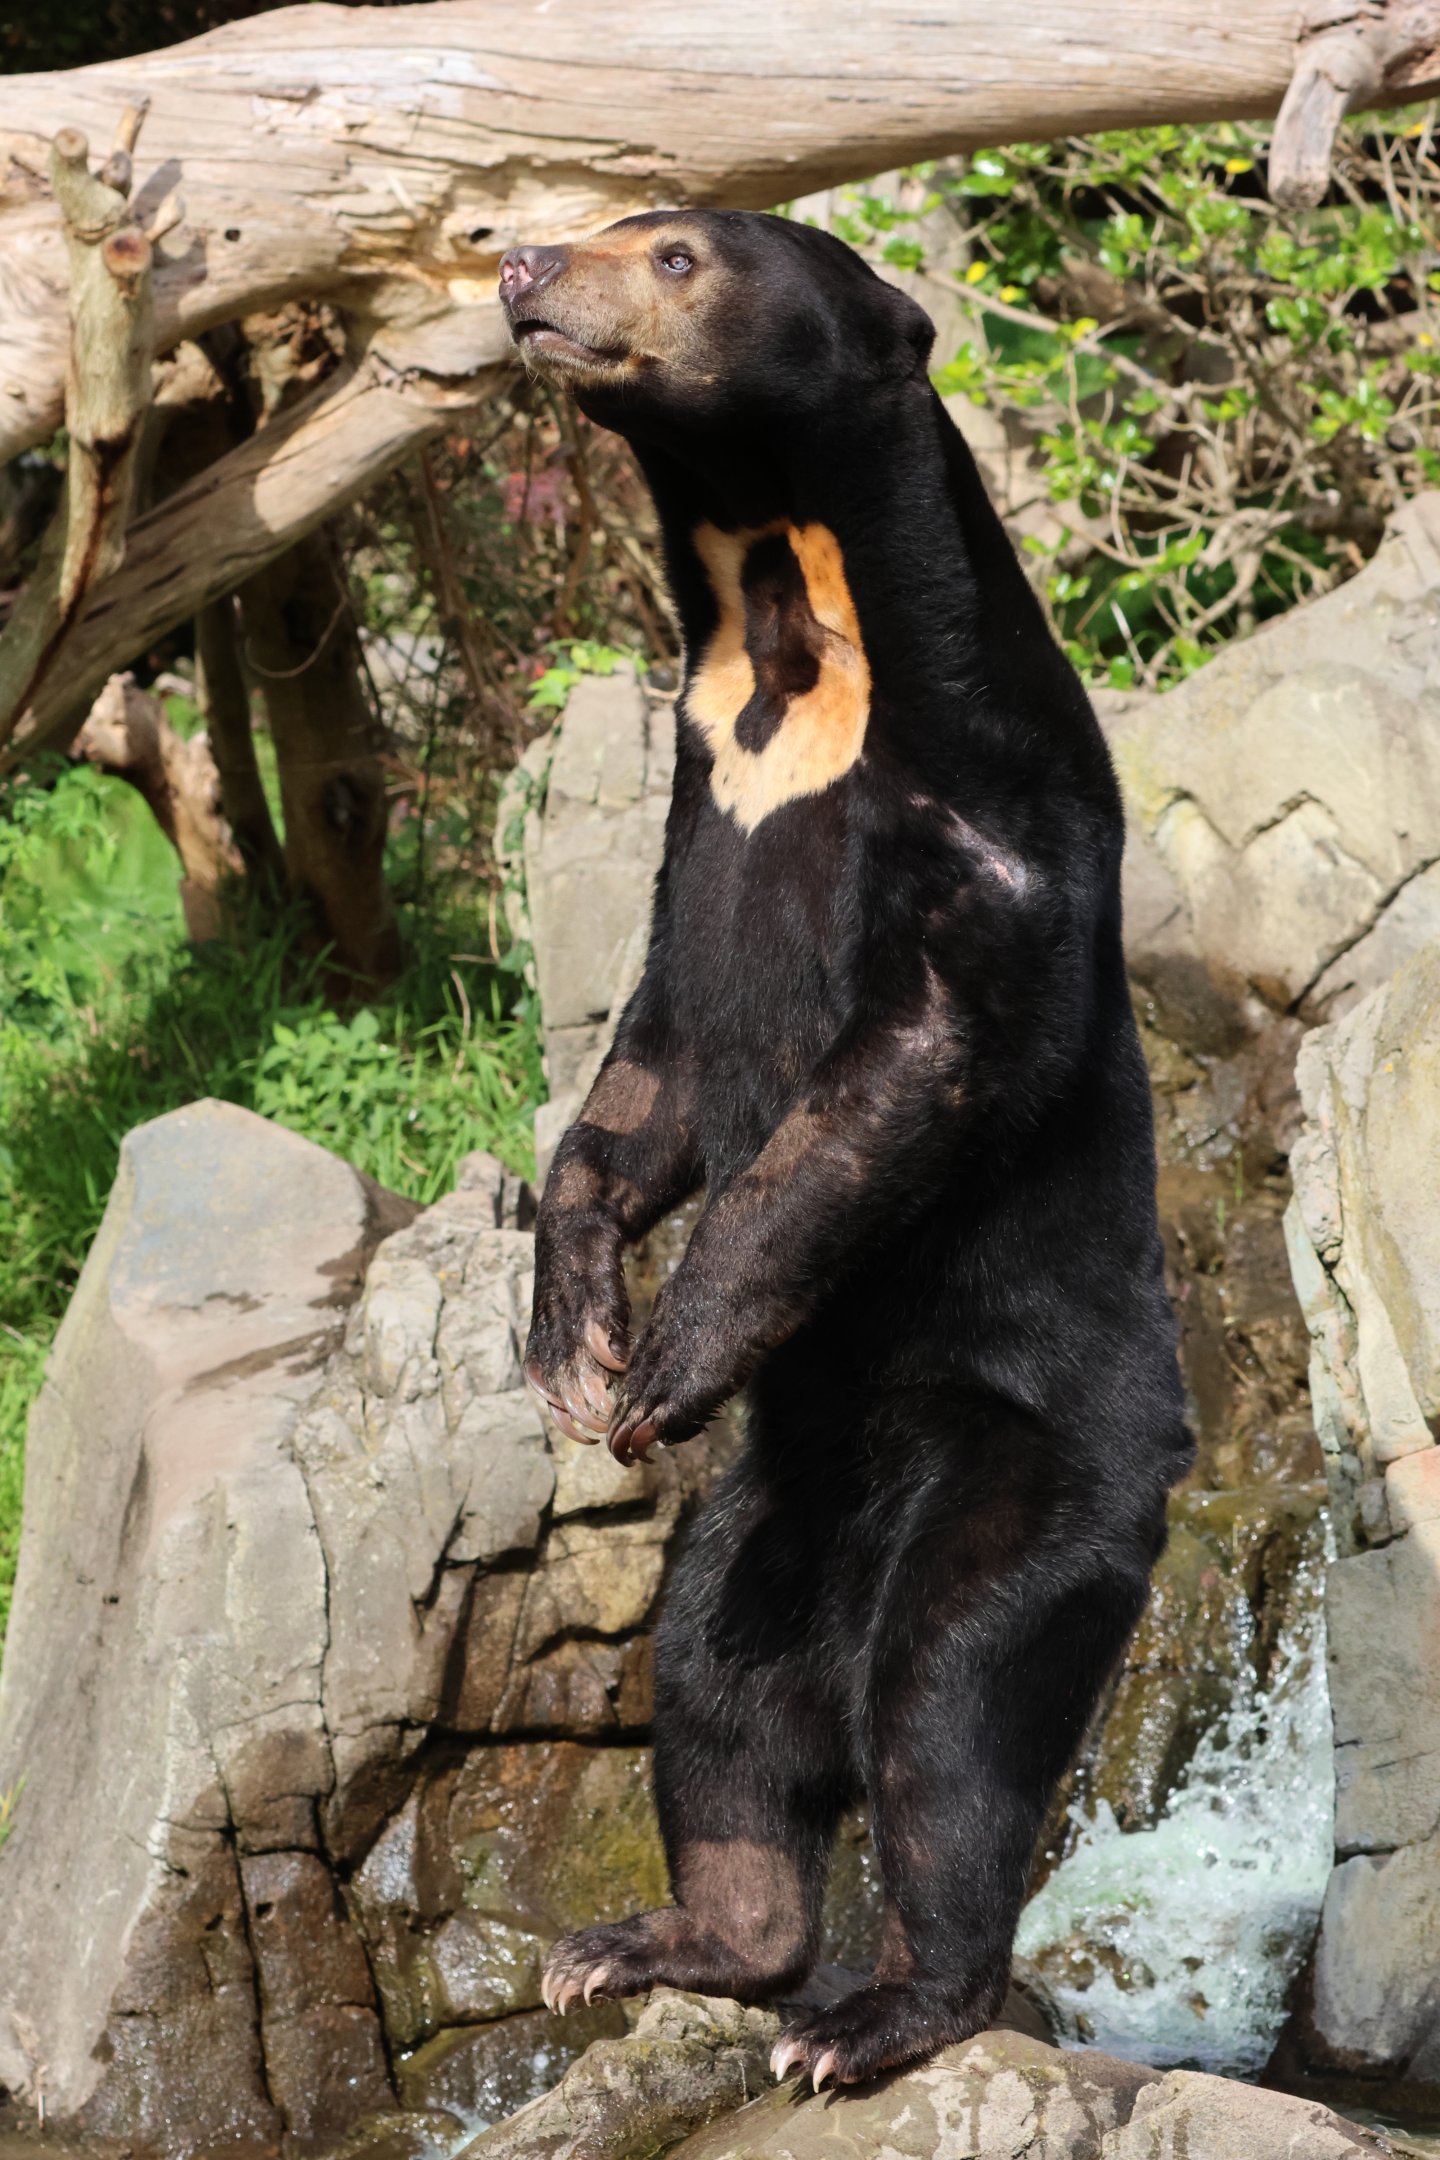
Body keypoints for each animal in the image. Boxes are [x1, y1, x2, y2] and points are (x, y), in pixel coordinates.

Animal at [498, 209, 1189, 2090]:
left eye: (670, 254)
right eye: (606, 225)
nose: (518, 270)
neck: (788, 632)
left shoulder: (985, 809)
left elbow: (892, 1082)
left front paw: (666, 1357)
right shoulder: (700, 804)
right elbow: (648, 1079)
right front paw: (575, 1347)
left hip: (1040, 1480)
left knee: (946, 1723)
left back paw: (877, 2014)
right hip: (765, 1522)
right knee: (713, 1693)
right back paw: (656, 1940)